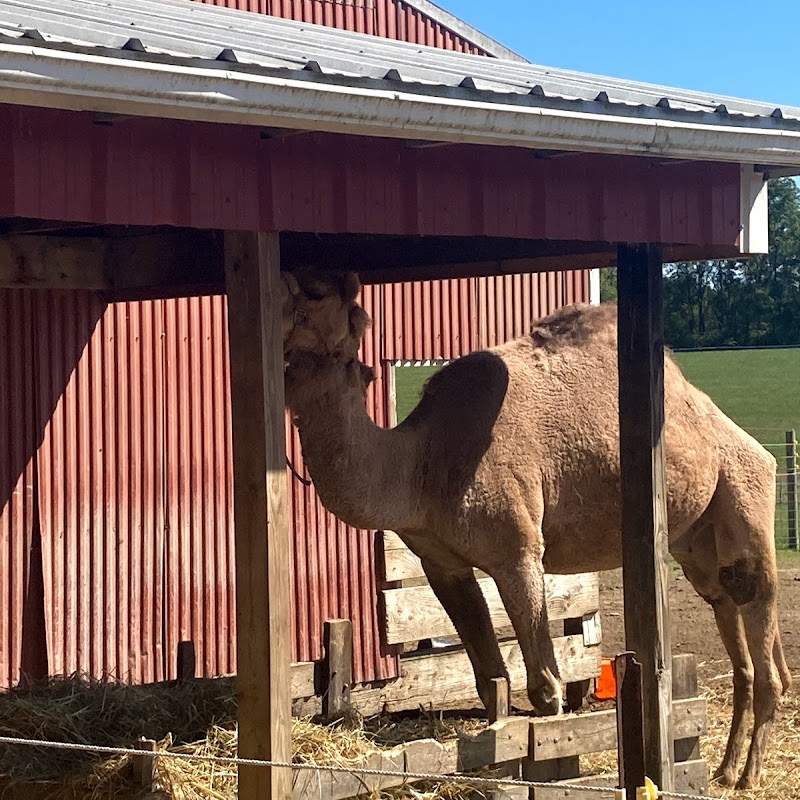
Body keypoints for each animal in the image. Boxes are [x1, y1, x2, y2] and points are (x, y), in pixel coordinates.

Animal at [284, 290, 792, 792]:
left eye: (311, 308)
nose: (281, 353)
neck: (422, 463)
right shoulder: (441, 561)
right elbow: (489, 679)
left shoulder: (518, 551)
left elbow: (545, 685)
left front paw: (552, 763)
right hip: (696, 542)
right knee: (728, 607)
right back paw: (726, 769)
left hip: (744, 489)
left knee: (757, 605)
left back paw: (749, 775)